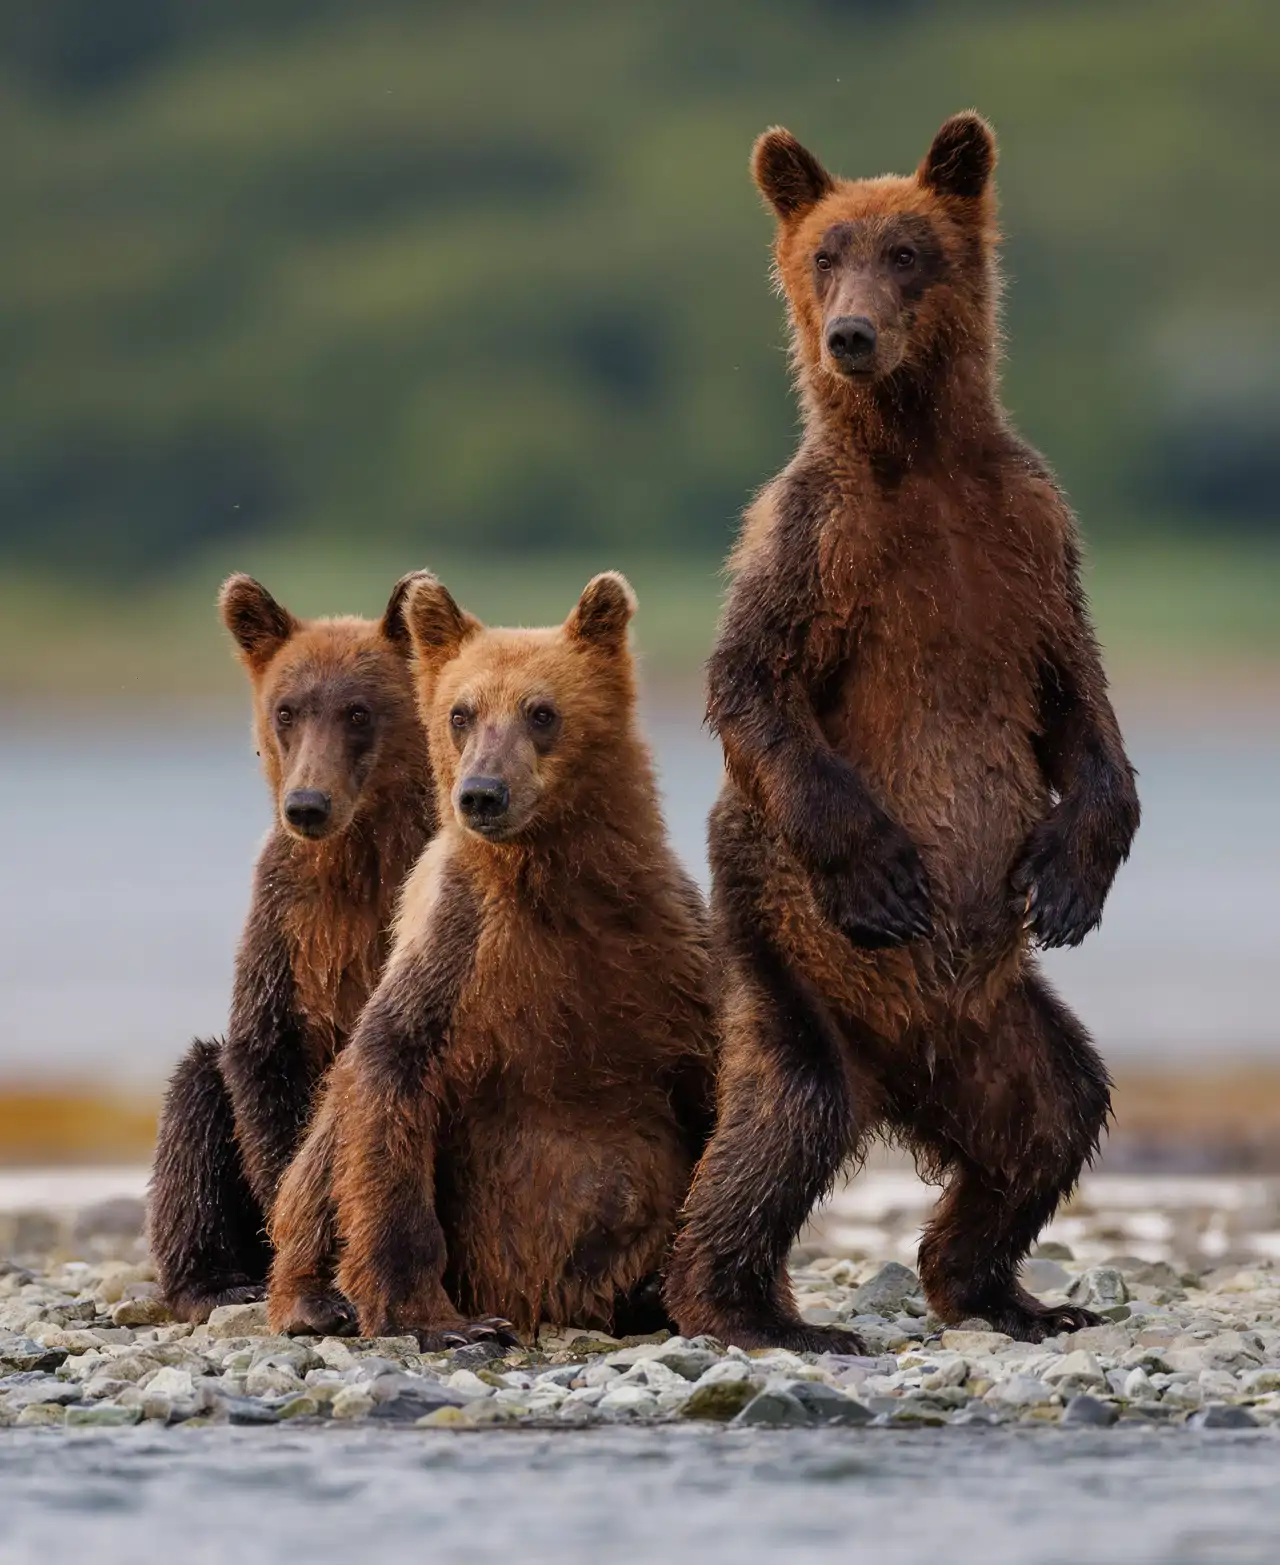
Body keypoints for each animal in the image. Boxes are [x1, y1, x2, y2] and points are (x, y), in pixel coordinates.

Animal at [148, 571, 436, 1324]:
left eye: (359, 711)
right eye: (287, 709)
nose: (308, 803)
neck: (357, 864)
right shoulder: (286, 924)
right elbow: (265, 1058)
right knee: (195, 1099)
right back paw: (218, 1280)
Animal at [267, 571, 717, 1345]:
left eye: (541, 711)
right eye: (461, 712)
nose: (482, 793)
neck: (552, 884)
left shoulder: (668, 954)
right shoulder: (454, 963)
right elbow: (387, 1097)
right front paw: (431, 1315)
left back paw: (645, 1294)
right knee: (324, 1149)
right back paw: (314, 1299)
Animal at [662, 112, 1140, 1351]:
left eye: (909, 252)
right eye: (826, 252)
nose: (851, 335)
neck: (917, 457)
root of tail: (902, 1065)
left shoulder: (1029, 540)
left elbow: (1077, 703)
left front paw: (1070, 876)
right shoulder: (810, 540)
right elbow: (751, 682)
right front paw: (878, 866)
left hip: (998, 1022)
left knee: (1052, 1115)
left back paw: (1009, 1291)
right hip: (781, 968)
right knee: (779, 1123)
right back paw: (757, 1310)